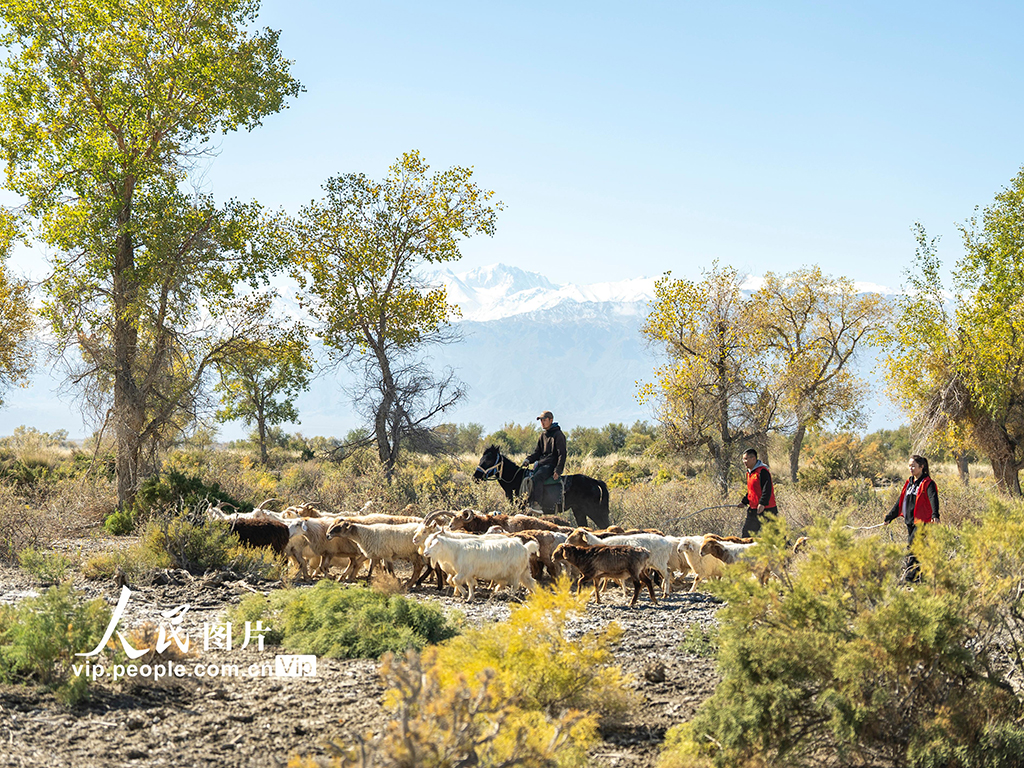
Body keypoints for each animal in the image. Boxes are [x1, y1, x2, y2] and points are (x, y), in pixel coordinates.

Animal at [471, 444, 606, 528]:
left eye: (489, 459)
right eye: (481, 458)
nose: (475, 476)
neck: (517, 479)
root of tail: (594, 481)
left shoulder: (524, 510)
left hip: (593, 511)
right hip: (579, 511)